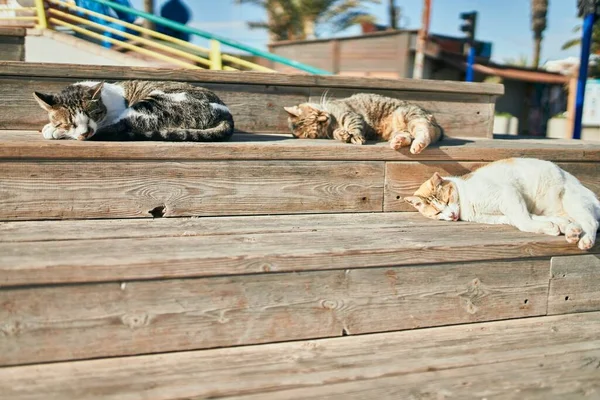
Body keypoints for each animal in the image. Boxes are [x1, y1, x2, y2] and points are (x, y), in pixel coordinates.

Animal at [32, 80, 234, 142]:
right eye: (68, 123)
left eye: (92, 116)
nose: (85, 133)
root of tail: (226, 114)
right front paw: (54, 127)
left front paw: (53, 130)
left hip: (150, 106)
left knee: (123, 126)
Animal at [284, 93, 442, 155]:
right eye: (318, 124)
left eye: (317, 114)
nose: (326, 117)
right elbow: (337, 133)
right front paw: (342, 134)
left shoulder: (350, 115)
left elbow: (354, 128)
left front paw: (355, 137)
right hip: (401, 129)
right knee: (408, 136)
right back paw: (398, 141)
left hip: (409, 115)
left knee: (424, 132)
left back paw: (418, 145)